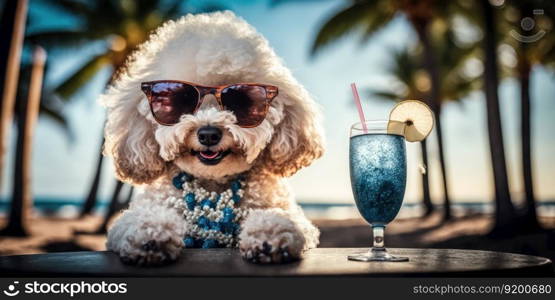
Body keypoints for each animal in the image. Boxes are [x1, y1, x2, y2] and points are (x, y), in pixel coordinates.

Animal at [102, 11, 324, 264]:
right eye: (178, 99)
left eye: (242, 100)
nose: (208, 134)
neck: (213, 186)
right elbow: (136, 219)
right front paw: (149, 232)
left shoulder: (290, 211)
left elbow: (282, 218)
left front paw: (271, 231)